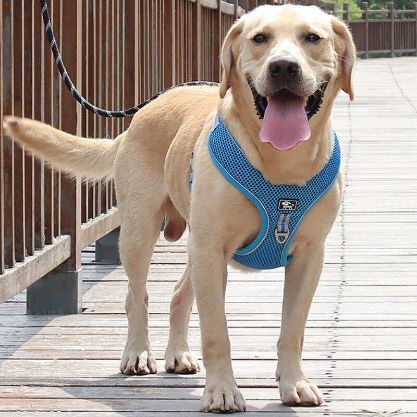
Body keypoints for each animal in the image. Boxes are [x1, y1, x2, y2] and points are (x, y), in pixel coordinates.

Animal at [3, 4, 355, 413]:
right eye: (260, 38)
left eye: (312, 38)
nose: (283, 67)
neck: (281, 164)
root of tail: (137, 118)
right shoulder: (211, 250)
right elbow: (216, 331)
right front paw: (221, 391)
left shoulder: (308, 256)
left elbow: (293, 329)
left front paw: (294, 382)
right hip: (141, 233)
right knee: (137, 296)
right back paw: (138, 353)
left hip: (195, 247)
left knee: (178, 294)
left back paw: (178, 354)